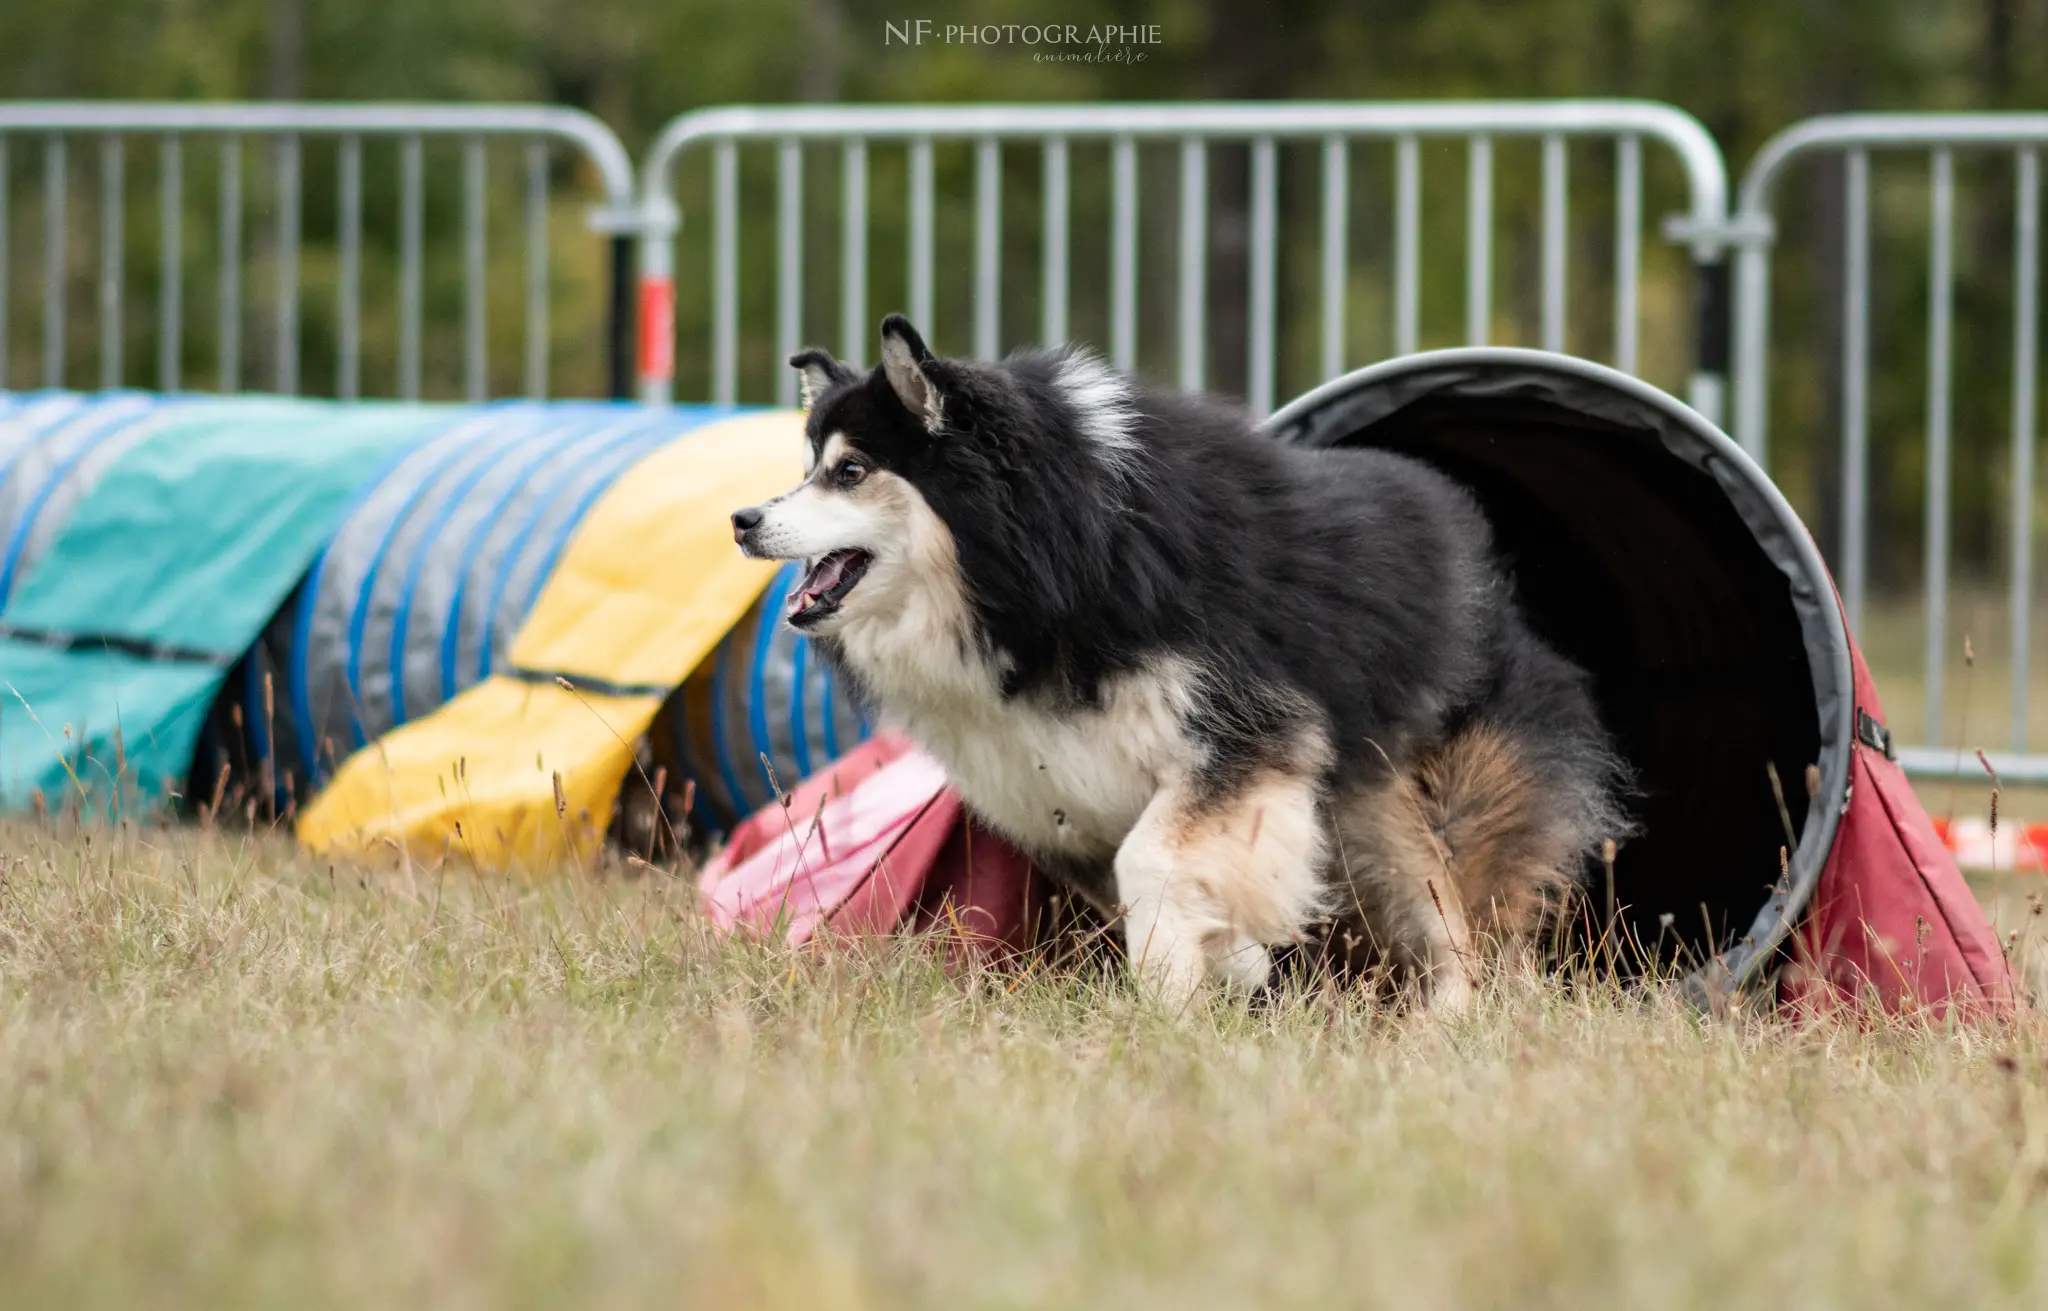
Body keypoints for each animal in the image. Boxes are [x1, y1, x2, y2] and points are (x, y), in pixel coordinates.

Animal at [729, 317, 1622, 1016]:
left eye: (850, 472)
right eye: (806, 469)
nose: (742, 518)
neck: (1051, 565)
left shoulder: (1246, 733)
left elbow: (1153, 861)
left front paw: (1170, 1002)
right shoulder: (1054, 795)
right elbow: (1156, 873)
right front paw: (1231, 960)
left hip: (1422, 806)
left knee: (1460, 921)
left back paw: (1451, 1023)